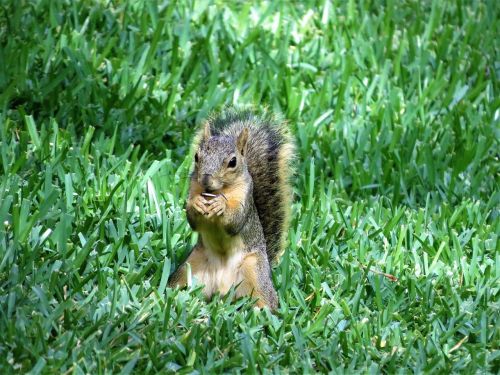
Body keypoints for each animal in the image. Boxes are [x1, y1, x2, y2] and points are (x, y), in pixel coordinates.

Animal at [168, 108, 294, 308]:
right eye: (196, 157)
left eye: (233, 162)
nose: (206, 179)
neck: (218, 191)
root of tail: (222, 290)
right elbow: (193, 222)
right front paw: (196, 203)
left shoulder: (245, 199)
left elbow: (235, 222)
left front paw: (221, 205)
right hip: (189, 268)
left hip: (255, 271)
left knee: (266, 301)